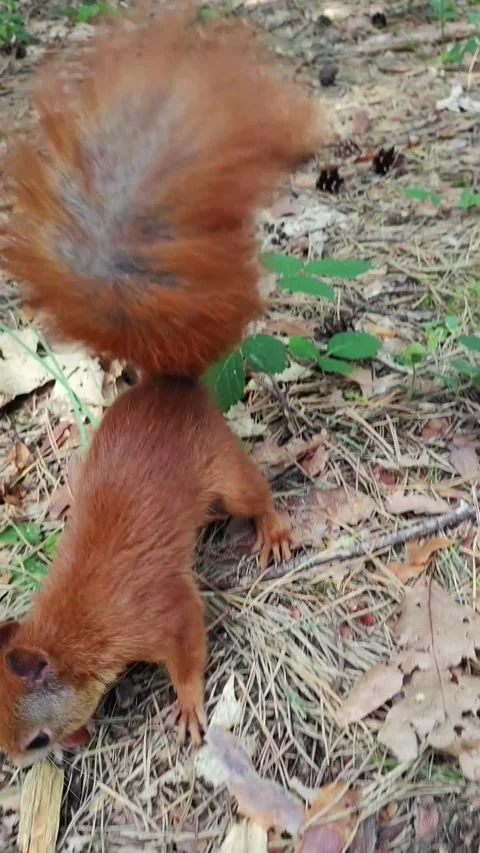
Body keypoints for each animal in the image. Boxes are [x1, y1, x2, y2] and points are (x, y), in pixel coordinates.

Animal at [0, 9, 330, 764]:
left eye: (34, 738)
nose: (58, 755)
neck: (77, 628)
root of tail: (168, 383)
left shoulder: (160, 613)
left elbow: (188, 647)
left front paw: (185, 705)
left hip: (222, 470)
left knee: (253, 491)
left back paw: (271, 529)